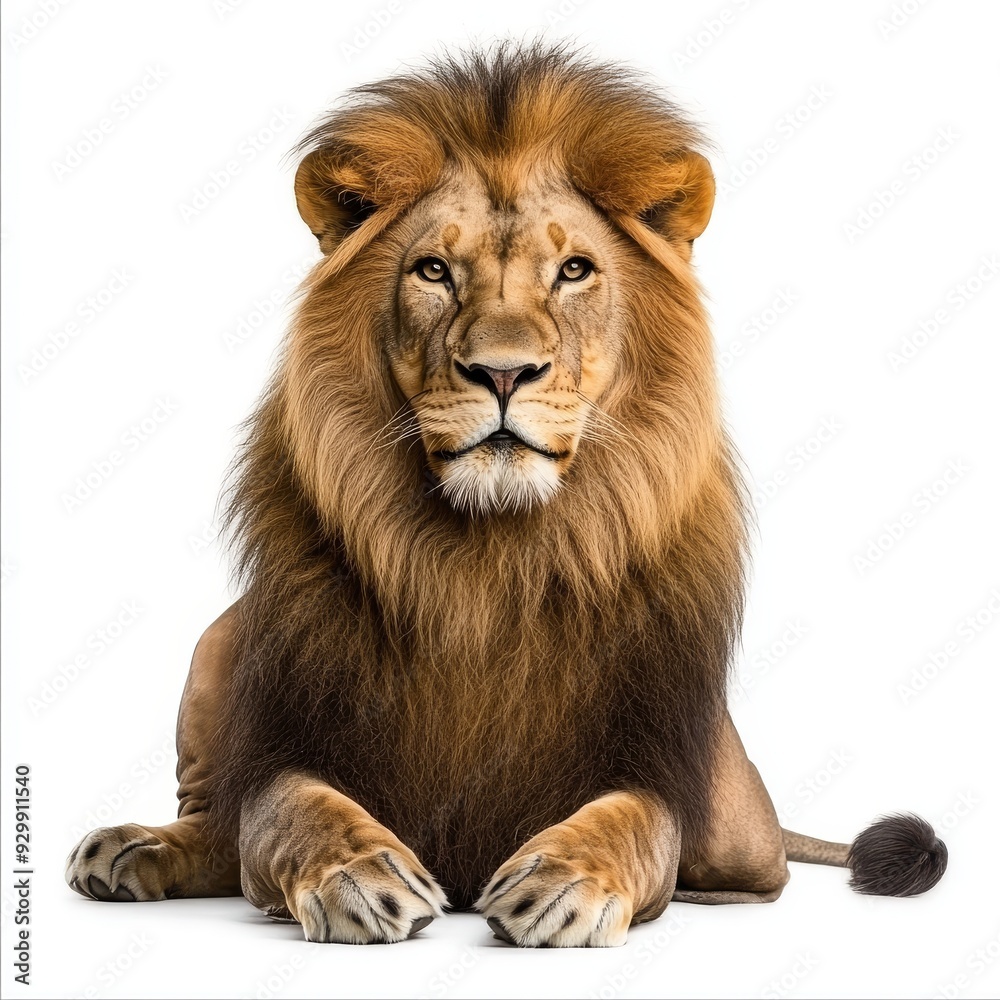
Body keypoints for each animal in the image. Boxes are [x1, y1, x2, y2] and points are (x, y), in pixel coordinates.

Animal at [65, 44, 947, 947]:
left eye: (574, 270)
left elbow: (634, 822)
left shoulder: (648, 755)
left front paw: (562, 881)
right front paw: (360, 874)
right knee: (214, 820)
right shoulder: (293, 734)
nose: (502, 371)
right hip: (217, 642)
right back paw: (131, 849)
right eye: (433, 270)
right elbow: (285, 810)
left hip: (740, 827)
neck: (490, 554)